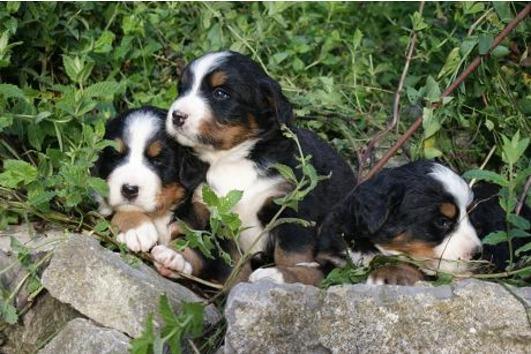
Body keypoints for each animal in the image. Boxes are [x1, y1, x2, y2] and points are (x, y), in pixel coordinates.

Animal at [93, 106, 206, 274]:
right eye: (115, 156)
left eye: (158, 160)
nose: (129, 189)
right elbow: (122, 208)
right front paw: (136, 229)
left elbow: (196, 241)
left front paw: (174, 255)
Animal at [160, 51, 356, 286]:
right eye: (182, 89)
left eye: (220, 93)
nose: (177, 115)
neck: (231, 159)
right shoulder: (207, 208)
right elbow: (211, 248)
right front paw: (179, 256)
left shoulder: (292, 207)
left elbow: (292, 254)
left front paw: (286, 275)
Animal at [318, 160, 484, 284]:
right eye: (442, 222)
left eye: (470, 216)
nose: (477, 254)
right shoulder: (329, 254)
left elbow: (412, 265)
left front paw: (386, 274)